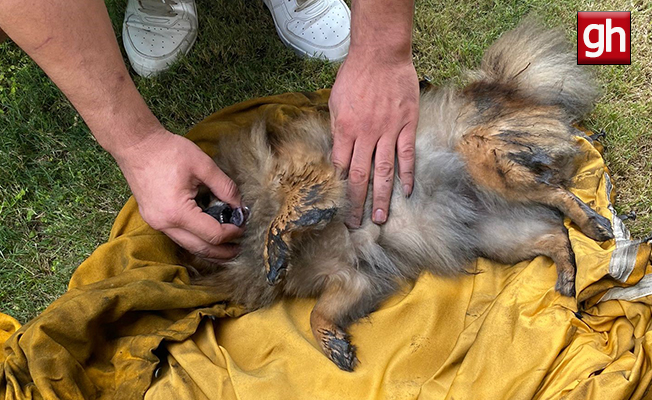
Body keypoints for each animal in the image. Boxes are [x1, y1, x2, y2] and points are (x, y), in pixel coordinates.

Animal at [186, 21, 612, 372]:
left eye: (204, 199)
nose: (221, 215)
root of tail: (506, 89)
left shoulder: (310, 175)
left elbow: (289, 211)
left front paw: (275, 245)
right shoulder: (351, 278)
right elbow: (319, 313)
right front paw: (333, 343)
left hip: (485, 160)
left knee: (558, 193)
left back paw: (593, 222)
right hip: (496, 235)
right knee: (555, 235)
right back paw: (568, 275)